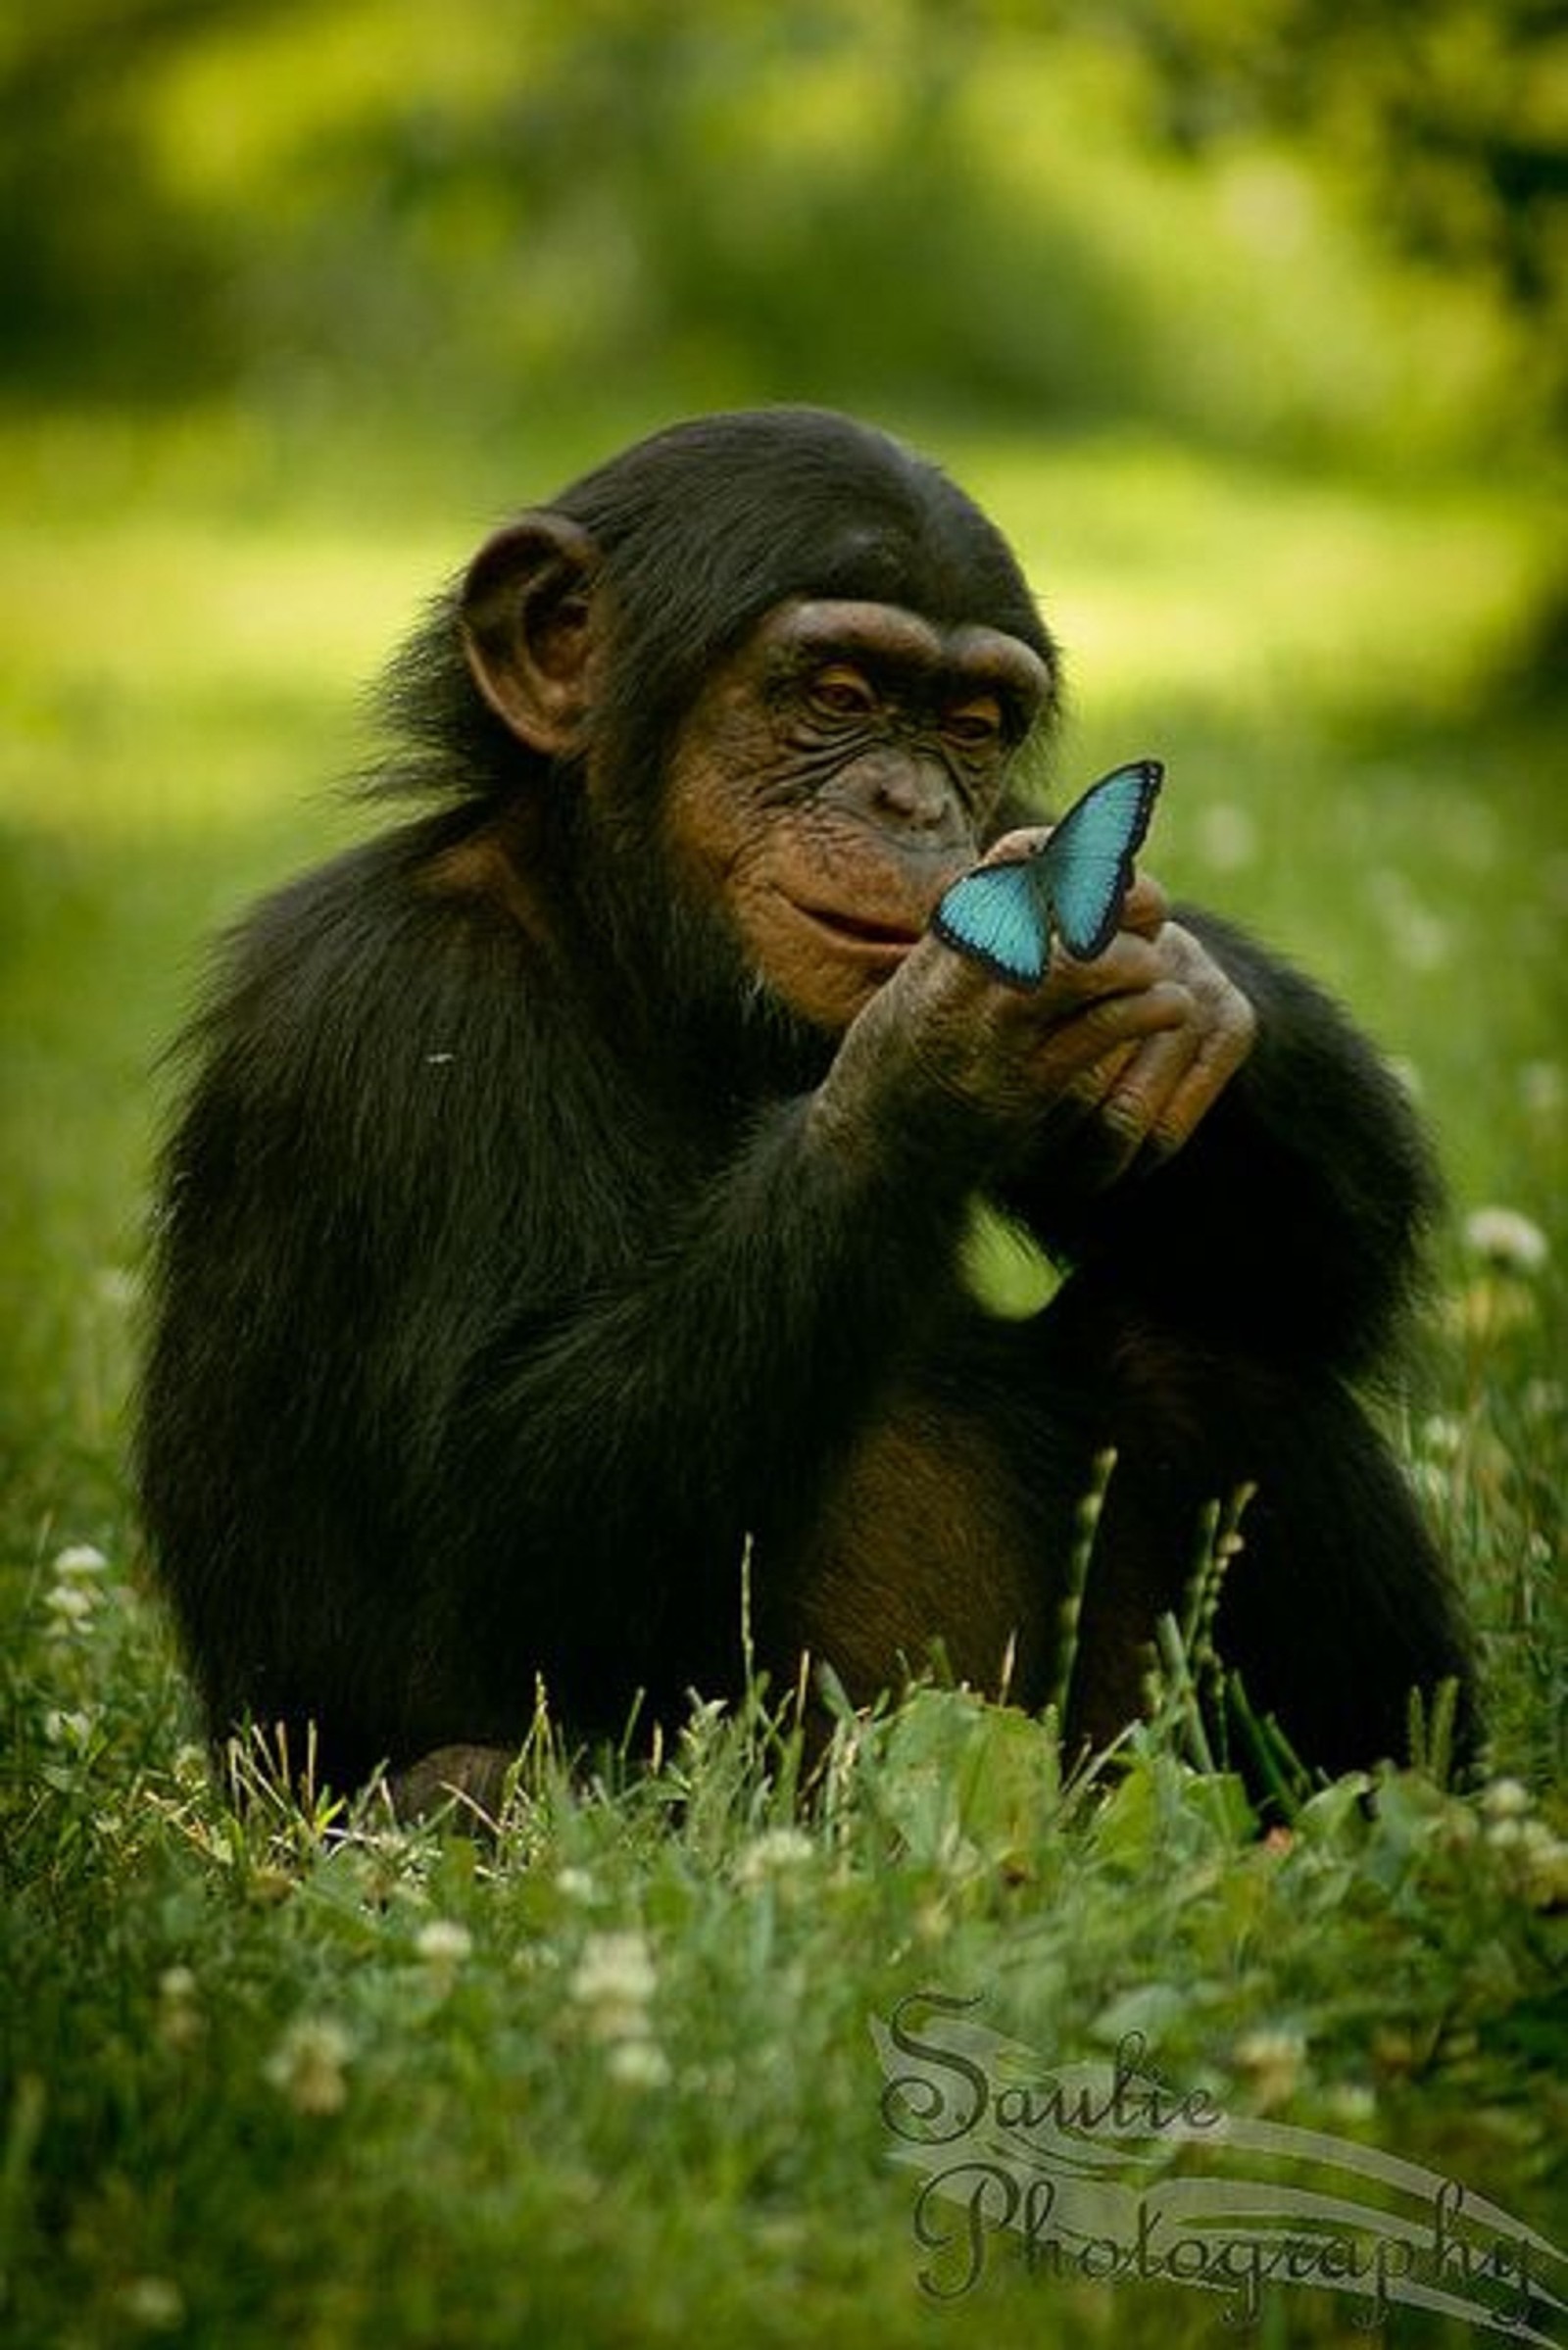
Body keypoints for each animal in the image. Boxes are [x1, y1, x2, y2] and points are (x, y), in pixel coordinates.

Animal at [134, 409, 1476, 1795]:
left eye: (972, 723)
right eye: (836, 696)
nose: (913, 802)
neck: (637, 952)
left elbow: (1324, 1270)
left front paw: (1197, 993)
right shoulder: (393, 1012)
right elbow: (499, 1520)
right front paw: (941, 1046)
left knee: (1216, 1347)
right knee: (476, 1775)